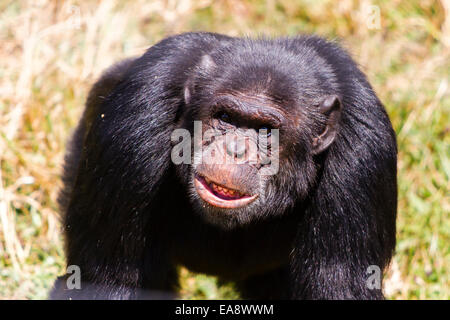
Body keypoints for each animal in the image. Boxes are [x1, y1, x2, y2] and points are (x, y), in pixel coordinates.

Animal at [51, 32, 398, 300]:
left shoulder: (364, 155)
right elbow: (112, 282)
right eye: (226, 117)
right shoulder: (134, 119)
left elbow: (338, 286)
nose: (234, 150)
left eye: (265, 130)